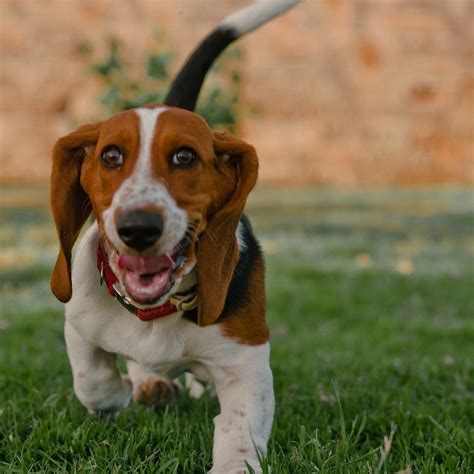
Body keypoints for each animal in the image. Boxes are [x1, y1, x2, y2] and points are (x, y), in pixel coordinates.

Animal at [49, 1, 300, 472]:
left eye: (185, 156)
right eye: (111, 156)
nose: (138, 227)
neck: (159, 311)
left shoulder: (247, 359)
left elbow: (239, 431)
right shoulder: (78, 321)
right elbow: (92, 380)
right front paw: (119, 393)